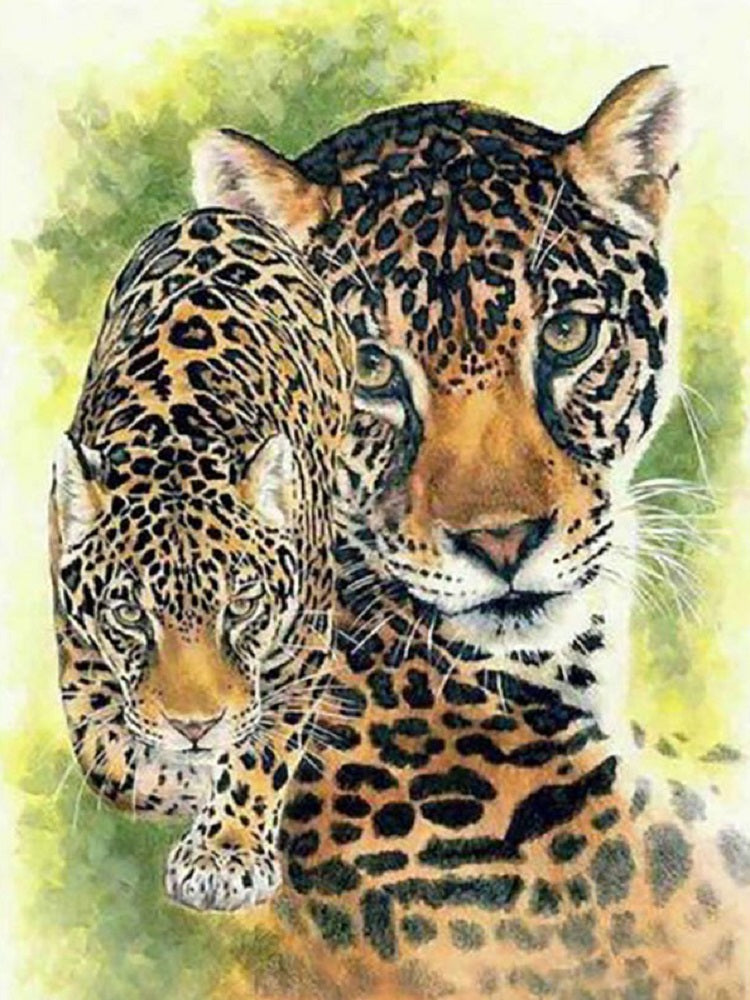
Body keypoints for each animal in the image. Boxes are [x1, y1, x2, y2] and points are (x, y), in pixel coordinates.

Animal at [49, 205, 354, 913]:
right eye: (128, 614)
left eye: (240, 606)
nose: (196, 726)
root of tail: (215, 211)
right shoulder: (77, 658)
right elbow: (109, 759)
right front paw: (183, 776)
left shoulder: (302, 648)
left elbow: (261, 749)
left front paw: (224, 851)